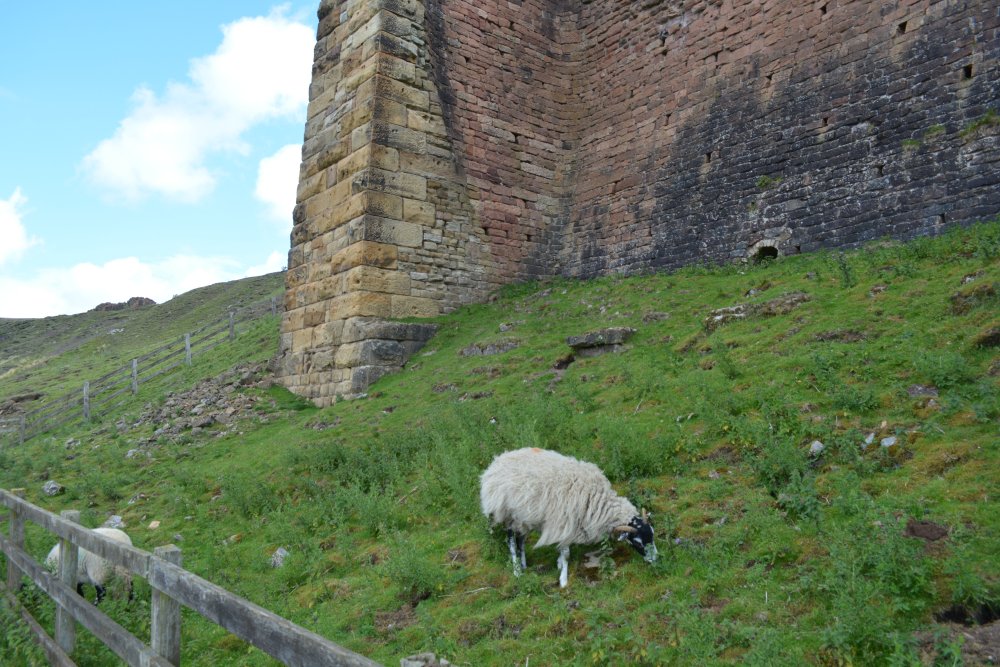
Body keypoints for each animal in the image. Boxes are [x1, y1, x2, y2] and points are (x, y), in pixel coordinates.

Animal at [480, 447, 657, 587]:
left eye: (652, 535)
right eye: (638, 542)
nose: (655, 560)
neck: (595, 498)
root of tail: (497, 461)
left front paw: (559, 564)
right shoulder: (563, 522)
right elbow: (565, 553)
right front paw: (563, 579)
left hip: (523, 518)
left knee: (520, 540)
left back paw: (523, 564)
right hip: (508, 514)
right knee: (511, 541)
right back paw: (517, 571)